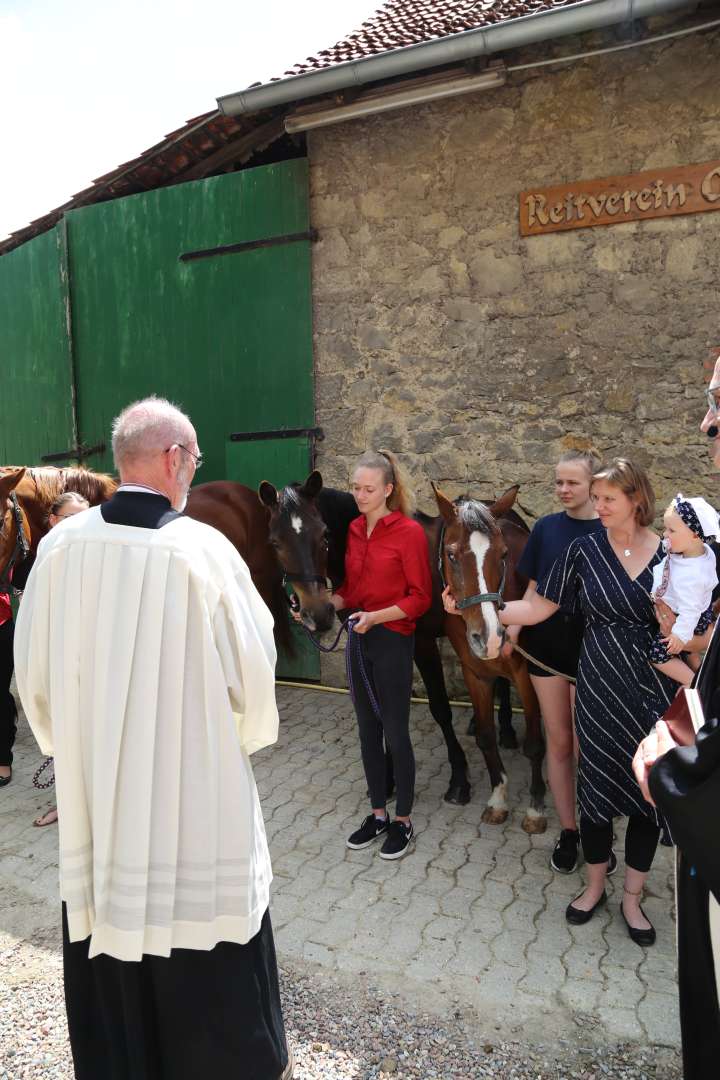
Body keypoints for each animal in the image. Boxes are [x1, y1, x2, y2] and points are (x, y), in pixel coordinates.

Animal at [255, 468, 544, 829]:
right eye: (275, 543)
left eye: (323, 535)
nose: (317, 614)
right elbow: (384, 709)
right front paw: (388, 780)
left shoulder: (420, 643)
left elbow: (439, 708)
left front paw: (458, 781)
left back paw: (504, 728)